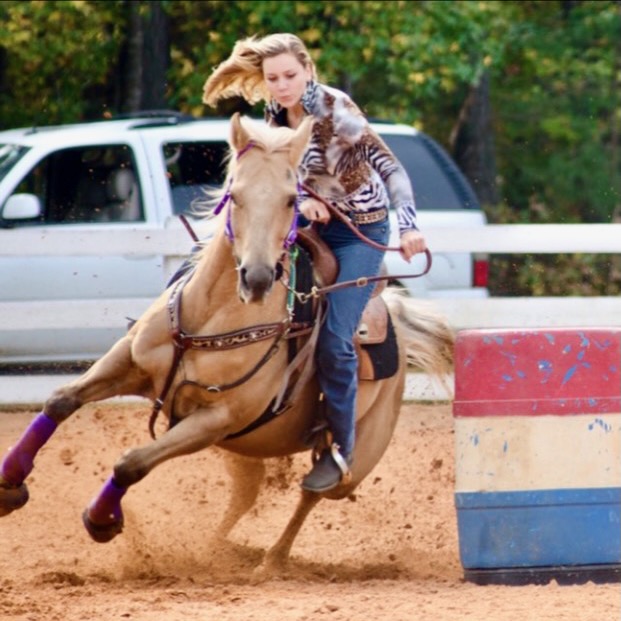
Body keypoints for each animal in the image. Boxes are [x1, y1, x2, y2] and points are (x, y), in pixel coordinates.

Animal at [0, 111, 450, 576]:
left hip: (356, 456)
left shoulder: (215, 419)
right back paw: (217, 551)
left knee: (311, 494)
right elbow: (61, 401)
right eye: (235, 194)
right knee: (244, 498)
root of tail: (393, 314)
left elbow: (132, 462)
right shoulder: (130, 363)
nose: (257, 278)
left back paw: (272, 560)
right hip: (247, 446)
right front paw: (9, 485)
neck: (208, 317)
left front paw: (102, 519)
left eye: (290, 200)